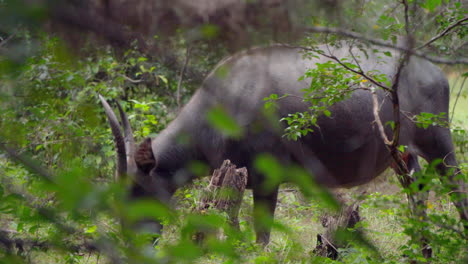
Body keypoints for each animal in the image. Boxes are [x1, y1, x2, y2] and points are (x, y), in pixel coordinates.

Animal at [100, 42, 466, 245]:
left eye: (137, 191)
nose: (133, 241)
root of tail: (433, 72)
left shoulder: (266, 178)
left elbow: (261, 236)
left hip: (439, 145)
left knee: (456, 187)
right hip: (402, 156)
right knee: (417, 197)